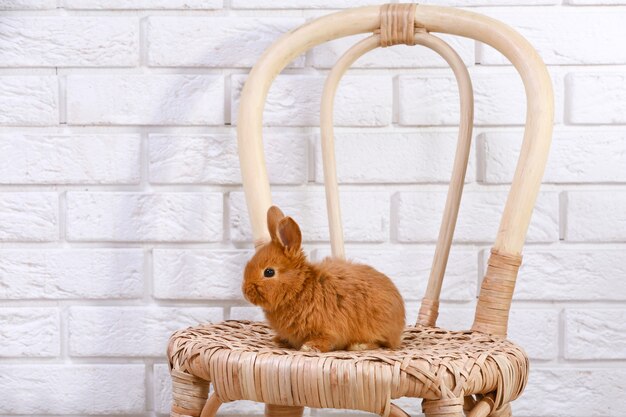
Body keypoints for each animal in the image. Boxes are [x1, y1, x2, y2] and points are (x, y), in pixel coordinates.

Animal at [241, 205, 402, 352]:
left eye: (269, 272)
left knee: (380, 343)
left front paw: (310, 347)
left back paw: (359, 345)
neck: (300, 288)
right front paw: (278, 340)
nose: (245, 293)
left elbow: (326, 340)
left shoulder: (329, 329)